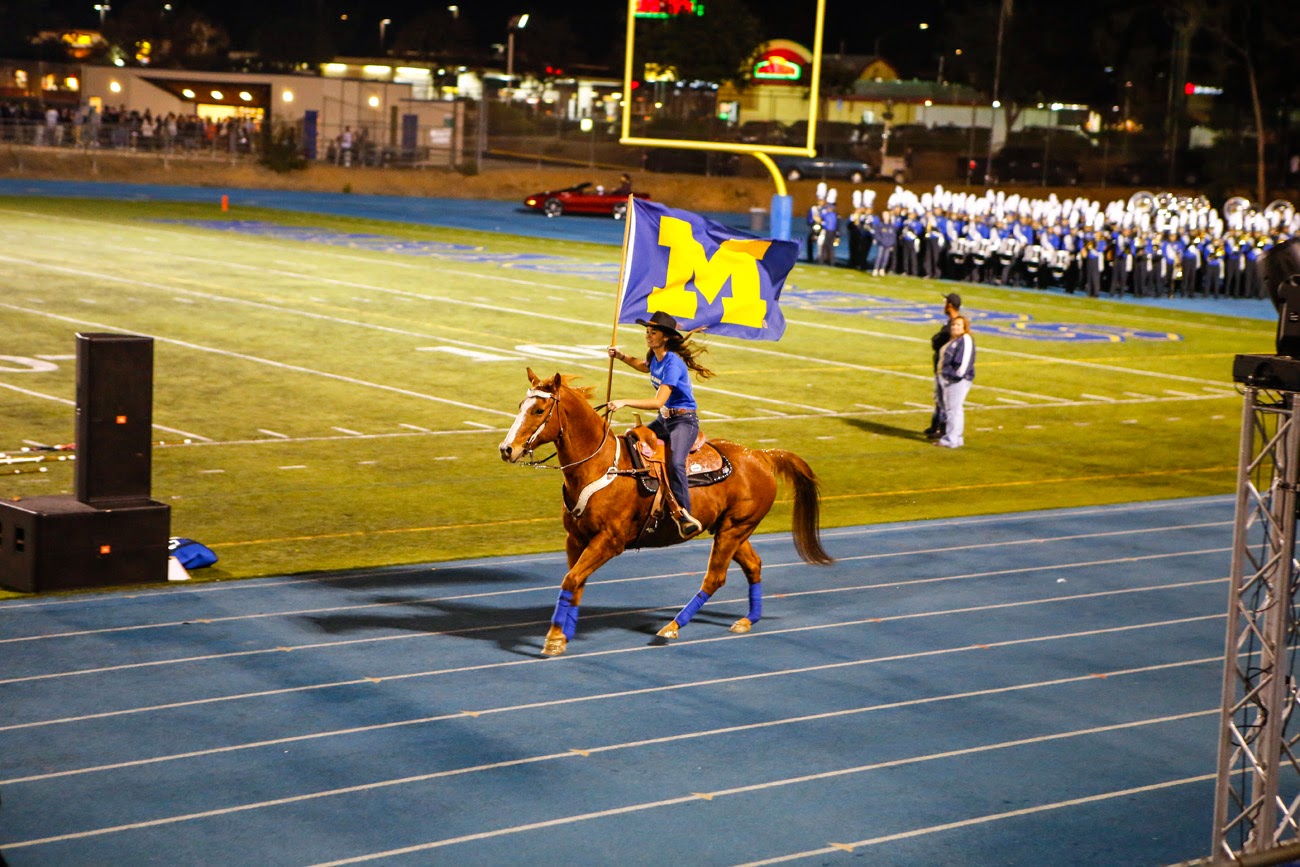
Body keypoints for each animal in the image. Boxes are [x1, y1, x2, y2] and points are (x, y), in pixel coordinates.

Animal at [496, 369, 832, 657]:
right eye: (520, 405)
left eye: (539, 410)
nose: (506, 449)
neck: (601, 467)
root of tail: (760, 455)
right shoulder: (575, 539)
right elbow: (575, 583)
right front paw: (563, 634)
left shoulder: (609, 542)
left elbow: (570, 580)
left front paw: (553, 638)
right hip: (730, 529)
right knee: (754, 565)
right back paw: (748, 619)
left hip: (734, 529)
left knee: (715, 578)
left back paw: (672, 626)